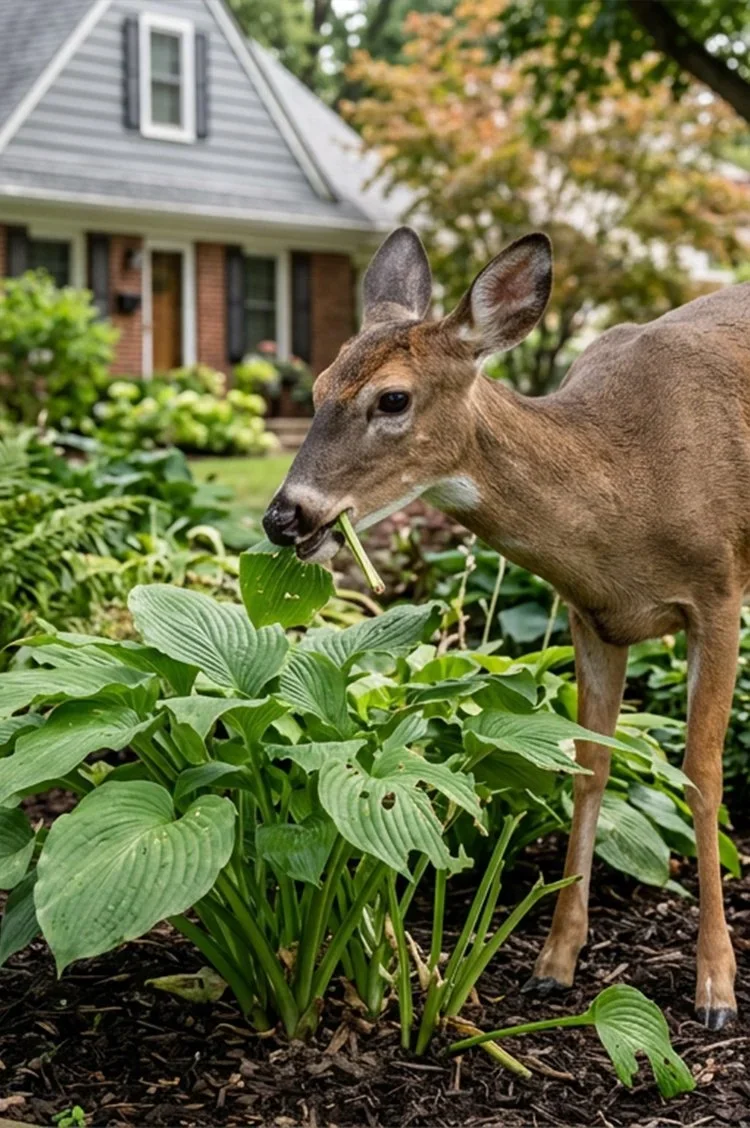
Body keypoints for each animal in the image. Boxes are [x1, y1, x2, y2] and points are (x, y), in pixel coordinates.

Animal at [263, 226, 748, 1031]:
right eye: (318, 386)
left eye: (392, 398)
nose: (284, 517)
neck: (633, 484)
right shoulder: (591, 616)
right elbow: (588, 767)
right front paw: (554, 963)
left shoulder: (719, 592)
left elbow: (702, 776)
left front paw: (716, 987)